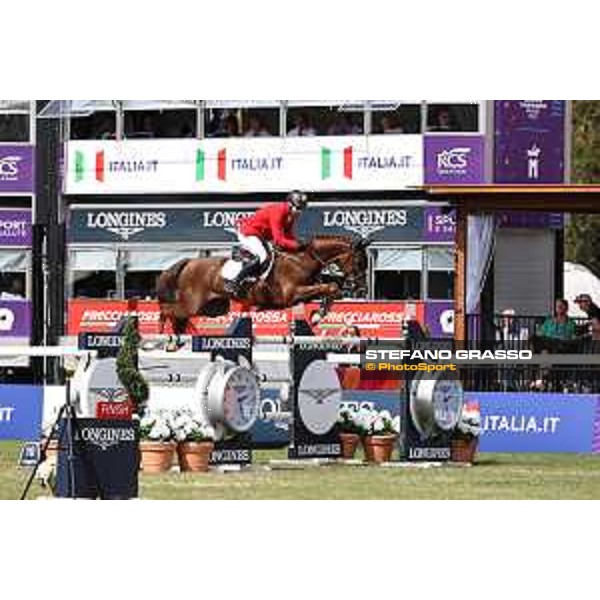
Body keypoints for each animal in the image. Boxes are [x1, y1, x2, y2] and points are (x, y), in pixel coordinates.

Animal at [157, 236, 368, 338]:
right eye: (359, 262)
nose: (362, 290)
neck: (302, 260)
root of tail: (189, 262)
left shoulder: (304, 293)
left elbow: (329, 288)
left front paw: (318, 315)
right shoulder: (291, 294)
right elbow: (331, 286)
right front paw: (318, 315)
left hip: (213, 308)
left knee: (179, 318)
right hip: (193, 304)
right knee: (168, 310)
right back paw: (161, 336)